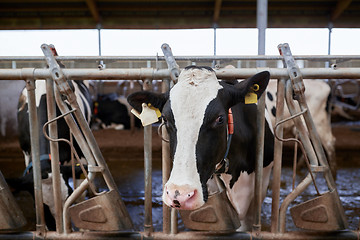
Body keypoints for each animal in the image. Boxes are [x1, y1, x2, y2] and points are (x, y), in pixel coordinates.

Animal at [10, 79, 91, 231]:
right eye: (41, 207)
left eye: (69, 196)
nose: (60, 230)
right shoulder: (27, 154)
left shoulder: (81, 153)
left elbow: (81, 192)